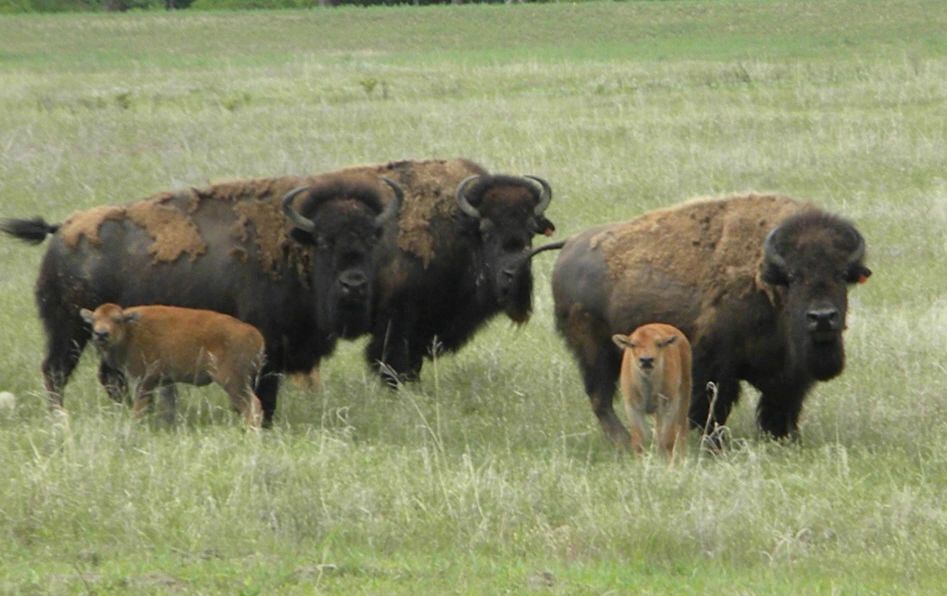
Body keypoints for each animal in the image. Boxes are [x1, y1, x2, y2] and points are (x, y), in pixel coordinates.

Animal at [1, 173, 402, 425]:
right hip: (68, 328)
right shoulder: (268, 347)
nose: (354, 284)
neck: (293, 245)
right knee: (56, 371)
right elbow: (264, 392)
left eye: (371, 238)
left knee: (107, 377)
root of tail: (62, 229)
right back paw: (62, 419)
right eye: (325, 241)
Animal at [552, 193, 871, 445]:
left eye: (842, 274)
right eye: (792, 277)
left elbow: (780, 407)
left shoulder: (791, 375)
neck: (766, 283)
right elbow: (712, 407)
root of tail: (569, 247)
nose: (822, 318)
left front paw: (784, 439)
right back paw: (625, 443)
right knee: (600, 398)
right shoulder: (715, 365)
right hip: (595, 352)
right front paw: (713, 443)